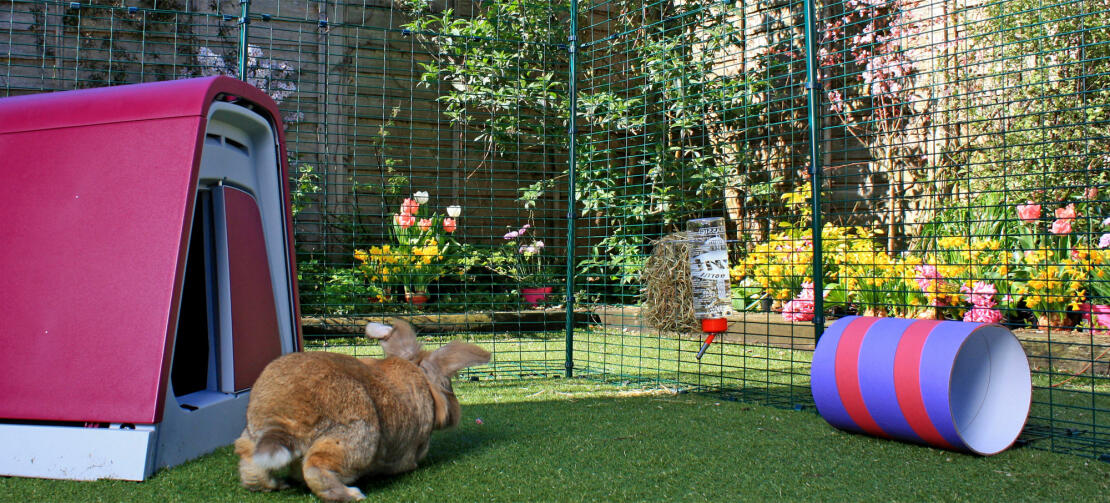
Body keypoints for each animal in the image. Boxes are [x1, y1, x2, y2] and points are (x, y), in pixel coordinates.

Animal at [234, 319, 490, 499]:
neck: (418, 373)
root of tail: (283, 415)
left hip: (251, 436)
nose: (453, 414)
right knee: (316, 469)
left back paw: (276, 484)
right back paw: (352, 495)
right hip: (356, 438)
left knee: (251, 463)